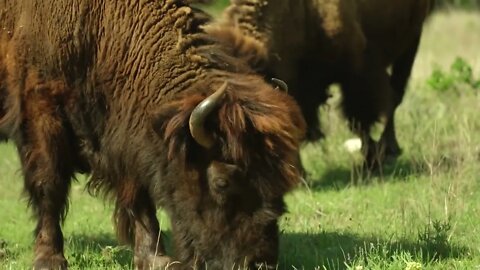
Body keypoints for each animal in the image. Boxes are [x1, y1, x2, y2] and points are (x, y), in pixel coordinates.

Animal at [0, 0, 306, 270]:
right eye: (222, 182)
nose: (258, 263)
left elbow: (137, 193)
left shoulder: (125, 132)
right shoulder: (40, 110)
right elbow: (49, 185)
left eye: (279, 183)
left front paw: (157, 259)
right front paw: (49, 260)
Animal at [204, 0, 436, 168]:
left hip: (412, 41)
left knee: (395, 95)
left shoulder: (359, 70)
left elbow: (359, 118)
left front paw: (371, 159)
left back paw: (389, 149)